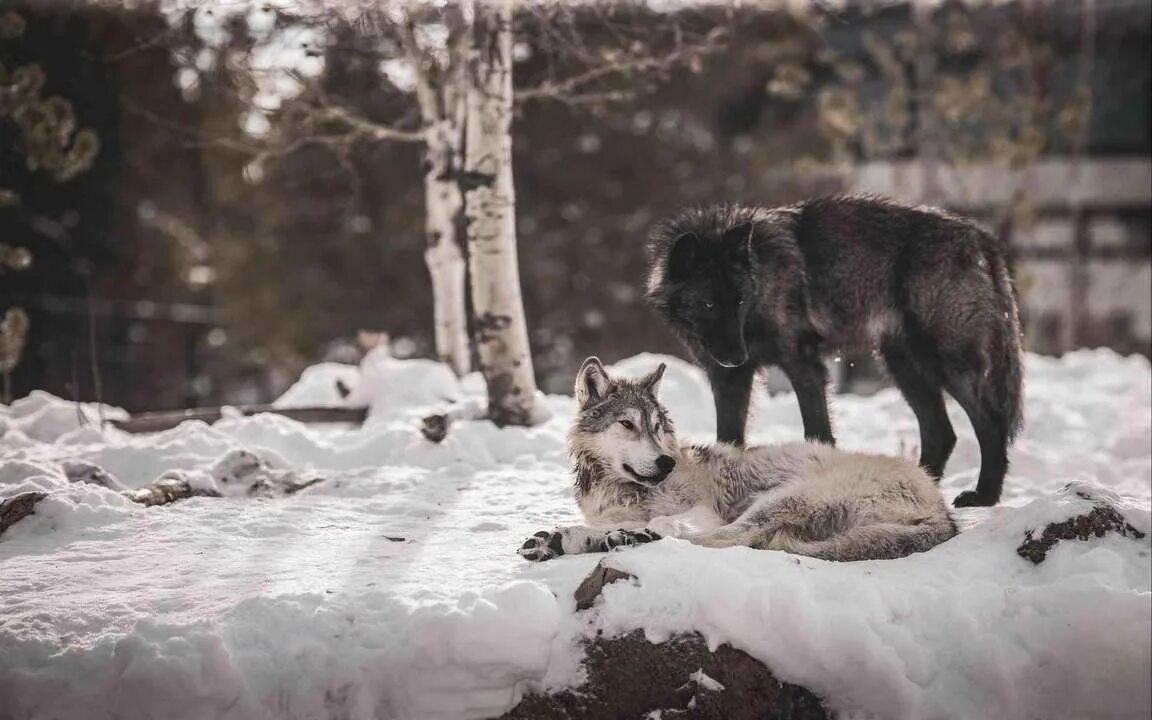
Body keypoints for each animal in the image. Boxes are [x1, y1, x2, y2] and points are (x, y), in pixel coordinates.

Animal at [518, 357, 958, 562]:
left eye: (657, 426)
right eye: (627, 424)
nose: (666, 464)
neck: (619, 488)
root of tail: (943, 510)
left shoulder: (704, 511)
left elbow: (673, 523)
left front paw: (625, 534)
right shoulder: (611, 513)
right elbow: (609, 525)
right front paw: (566, 537)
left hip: (780, 499)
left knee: (731, 539)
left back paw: (634, 540)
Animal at [645, 191, 1022, 504]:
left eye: (738, 301)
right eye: (708, 304)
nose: (738, 357)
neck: (762, 278)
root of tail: (978, 235)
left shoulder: (803, 366)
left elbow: (817, 431)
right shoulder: (729, 380)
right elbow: (729, 438)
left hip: (946, 363)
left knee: (991, 424)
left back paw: (984, 495)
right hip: (904, 367)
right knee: (942, 434)